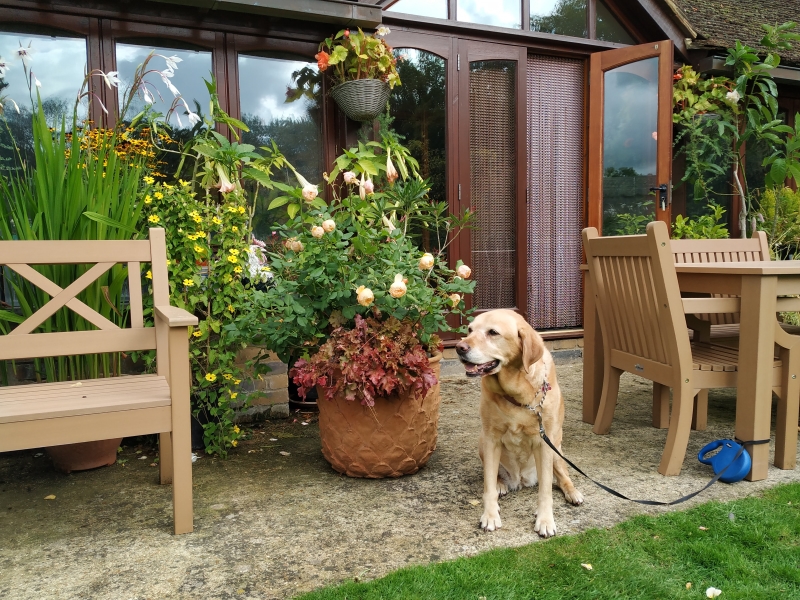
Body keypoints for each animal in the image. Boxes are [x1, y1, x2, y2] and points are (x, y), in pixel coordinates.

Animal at [456, 312, 580, 536]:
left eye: (493, 332)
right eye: (469, 330)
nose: (459, 347)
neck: (515, 393)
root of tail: (521, 479)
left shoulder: (544, 443)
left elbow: (546, 490)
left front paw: (545, 520)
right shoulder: (491, 439)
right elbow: (487, 486)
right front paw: (490, 515)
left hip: (556, 447)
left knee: (561, 476)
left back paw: (572, 492)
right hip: (482, 444)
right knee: (492, 475)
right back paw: (500, 485)